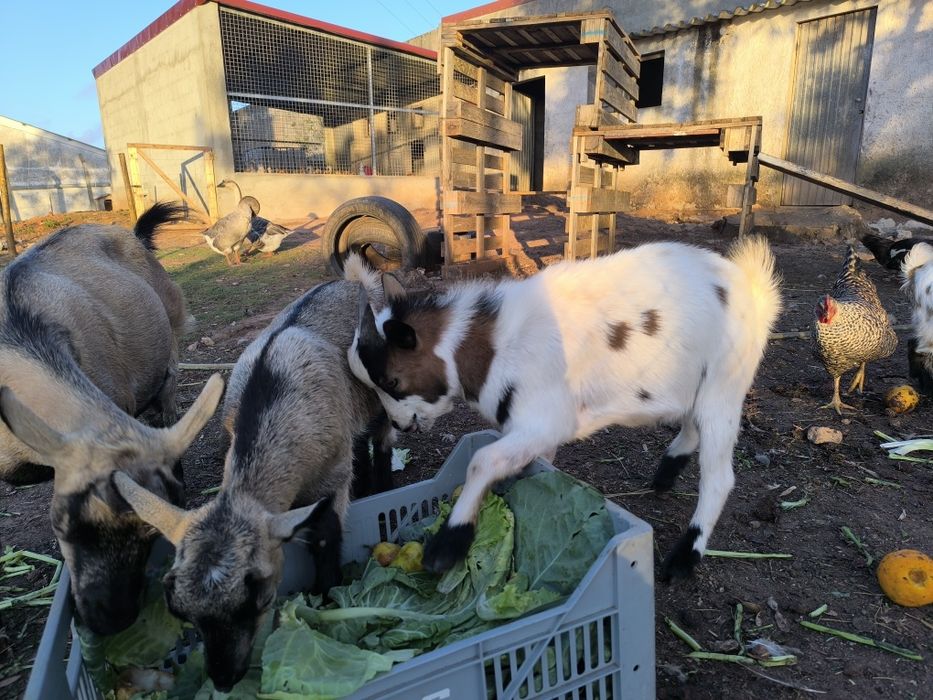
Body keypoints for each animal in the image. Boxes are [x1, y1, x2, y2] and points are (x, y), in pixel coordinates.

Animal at [114, 268, 395, 692]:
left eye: (259, 597)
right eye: (185, 614)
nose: (223, 680)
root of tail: (349, 280)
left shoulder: (330, 477)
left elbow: (327, 535)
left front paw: (327, 597)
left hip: (378, 391)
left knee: (380, 436)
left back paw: (382, 483)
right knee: (360, 442)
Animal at [347, 238, 781, 581]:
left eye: (391, 382)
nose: (399, 424)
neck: (493, 348)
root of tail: (751, 286)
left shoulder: (543, 419)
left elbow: (483, 461)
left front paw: (448, 545)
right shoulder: (534, 432)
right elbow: (534, 464)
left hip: (725, 383)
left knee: (719, 477)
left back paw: (683, 558)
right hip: (697, 385)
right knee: (691, 426)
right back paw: (664, 475)